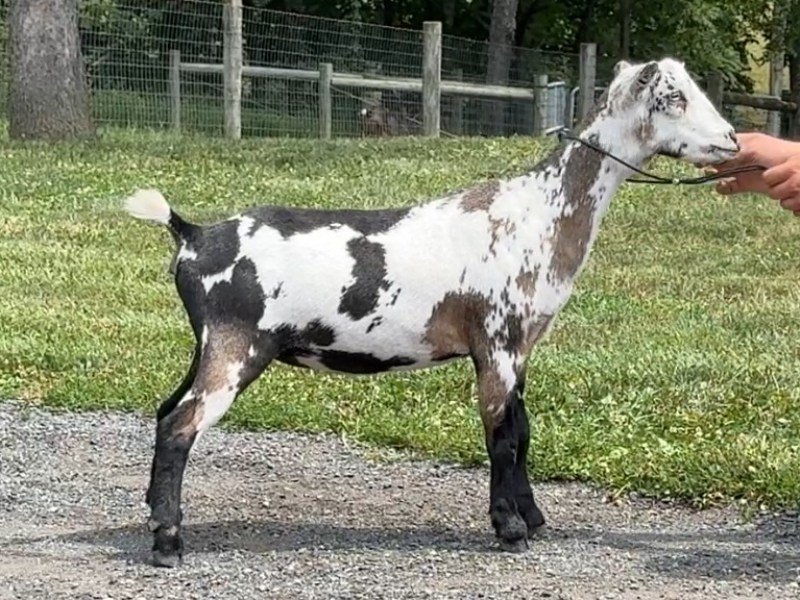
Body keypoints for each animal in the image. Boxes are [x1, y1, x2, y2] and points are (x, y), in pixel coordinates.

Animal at [125, 58, 739, 567]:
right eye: (674, 97)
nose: (732, 140)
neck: (538, 214)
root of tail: (193, 236)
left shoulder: (520, 347)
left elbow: (523, 429)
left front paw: (533, 517)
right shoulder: (496, 340)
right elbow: (502, 434)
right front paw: (510, 529)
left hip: (209, 343)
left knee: (164, 410)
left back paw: (155, 514)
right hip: (235, 347)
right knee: (182, 425)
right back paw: (168, 543)